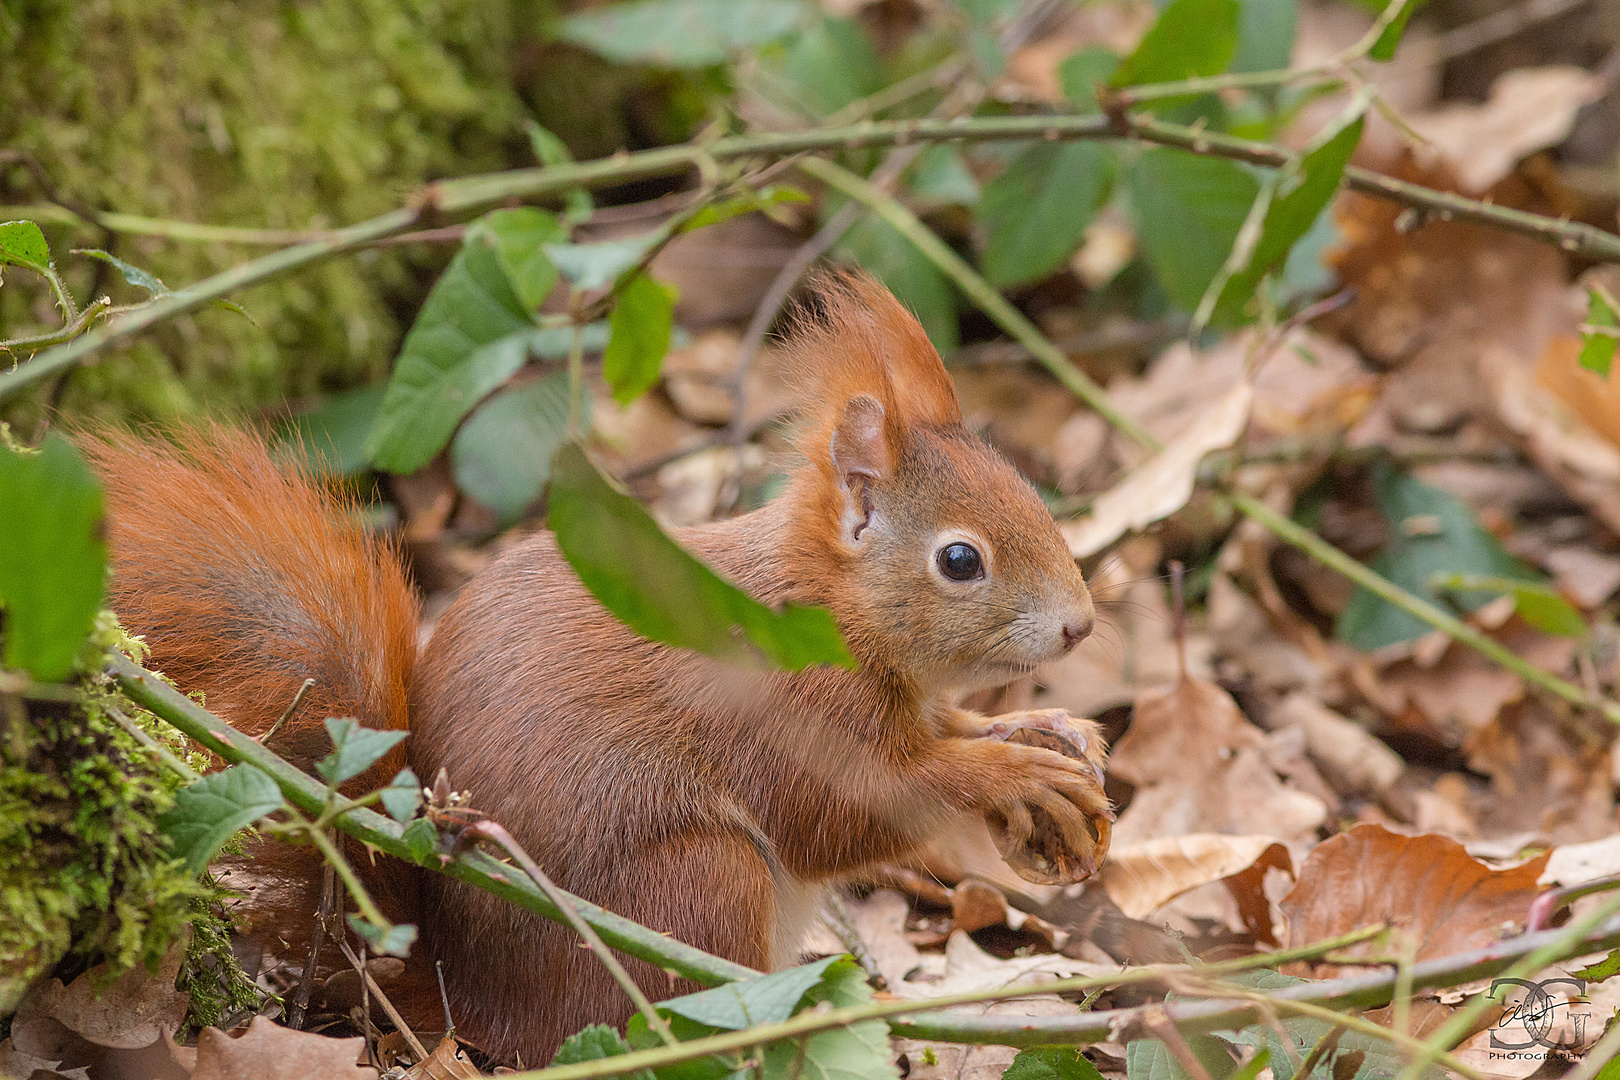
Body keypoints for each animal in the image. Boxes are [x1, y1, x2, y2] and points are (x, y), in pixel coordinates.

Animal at [85, 275, 1114, 1068]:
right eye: (960, 561)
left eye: (1031, 494)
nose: (1081, 625)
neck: (824, 609)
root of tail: (460, 998)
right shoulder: (784, 710)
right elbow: (849, 810)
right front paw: (1012, 772)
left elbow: (940, 739)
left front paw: (1050, 733)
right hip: (697, 887)